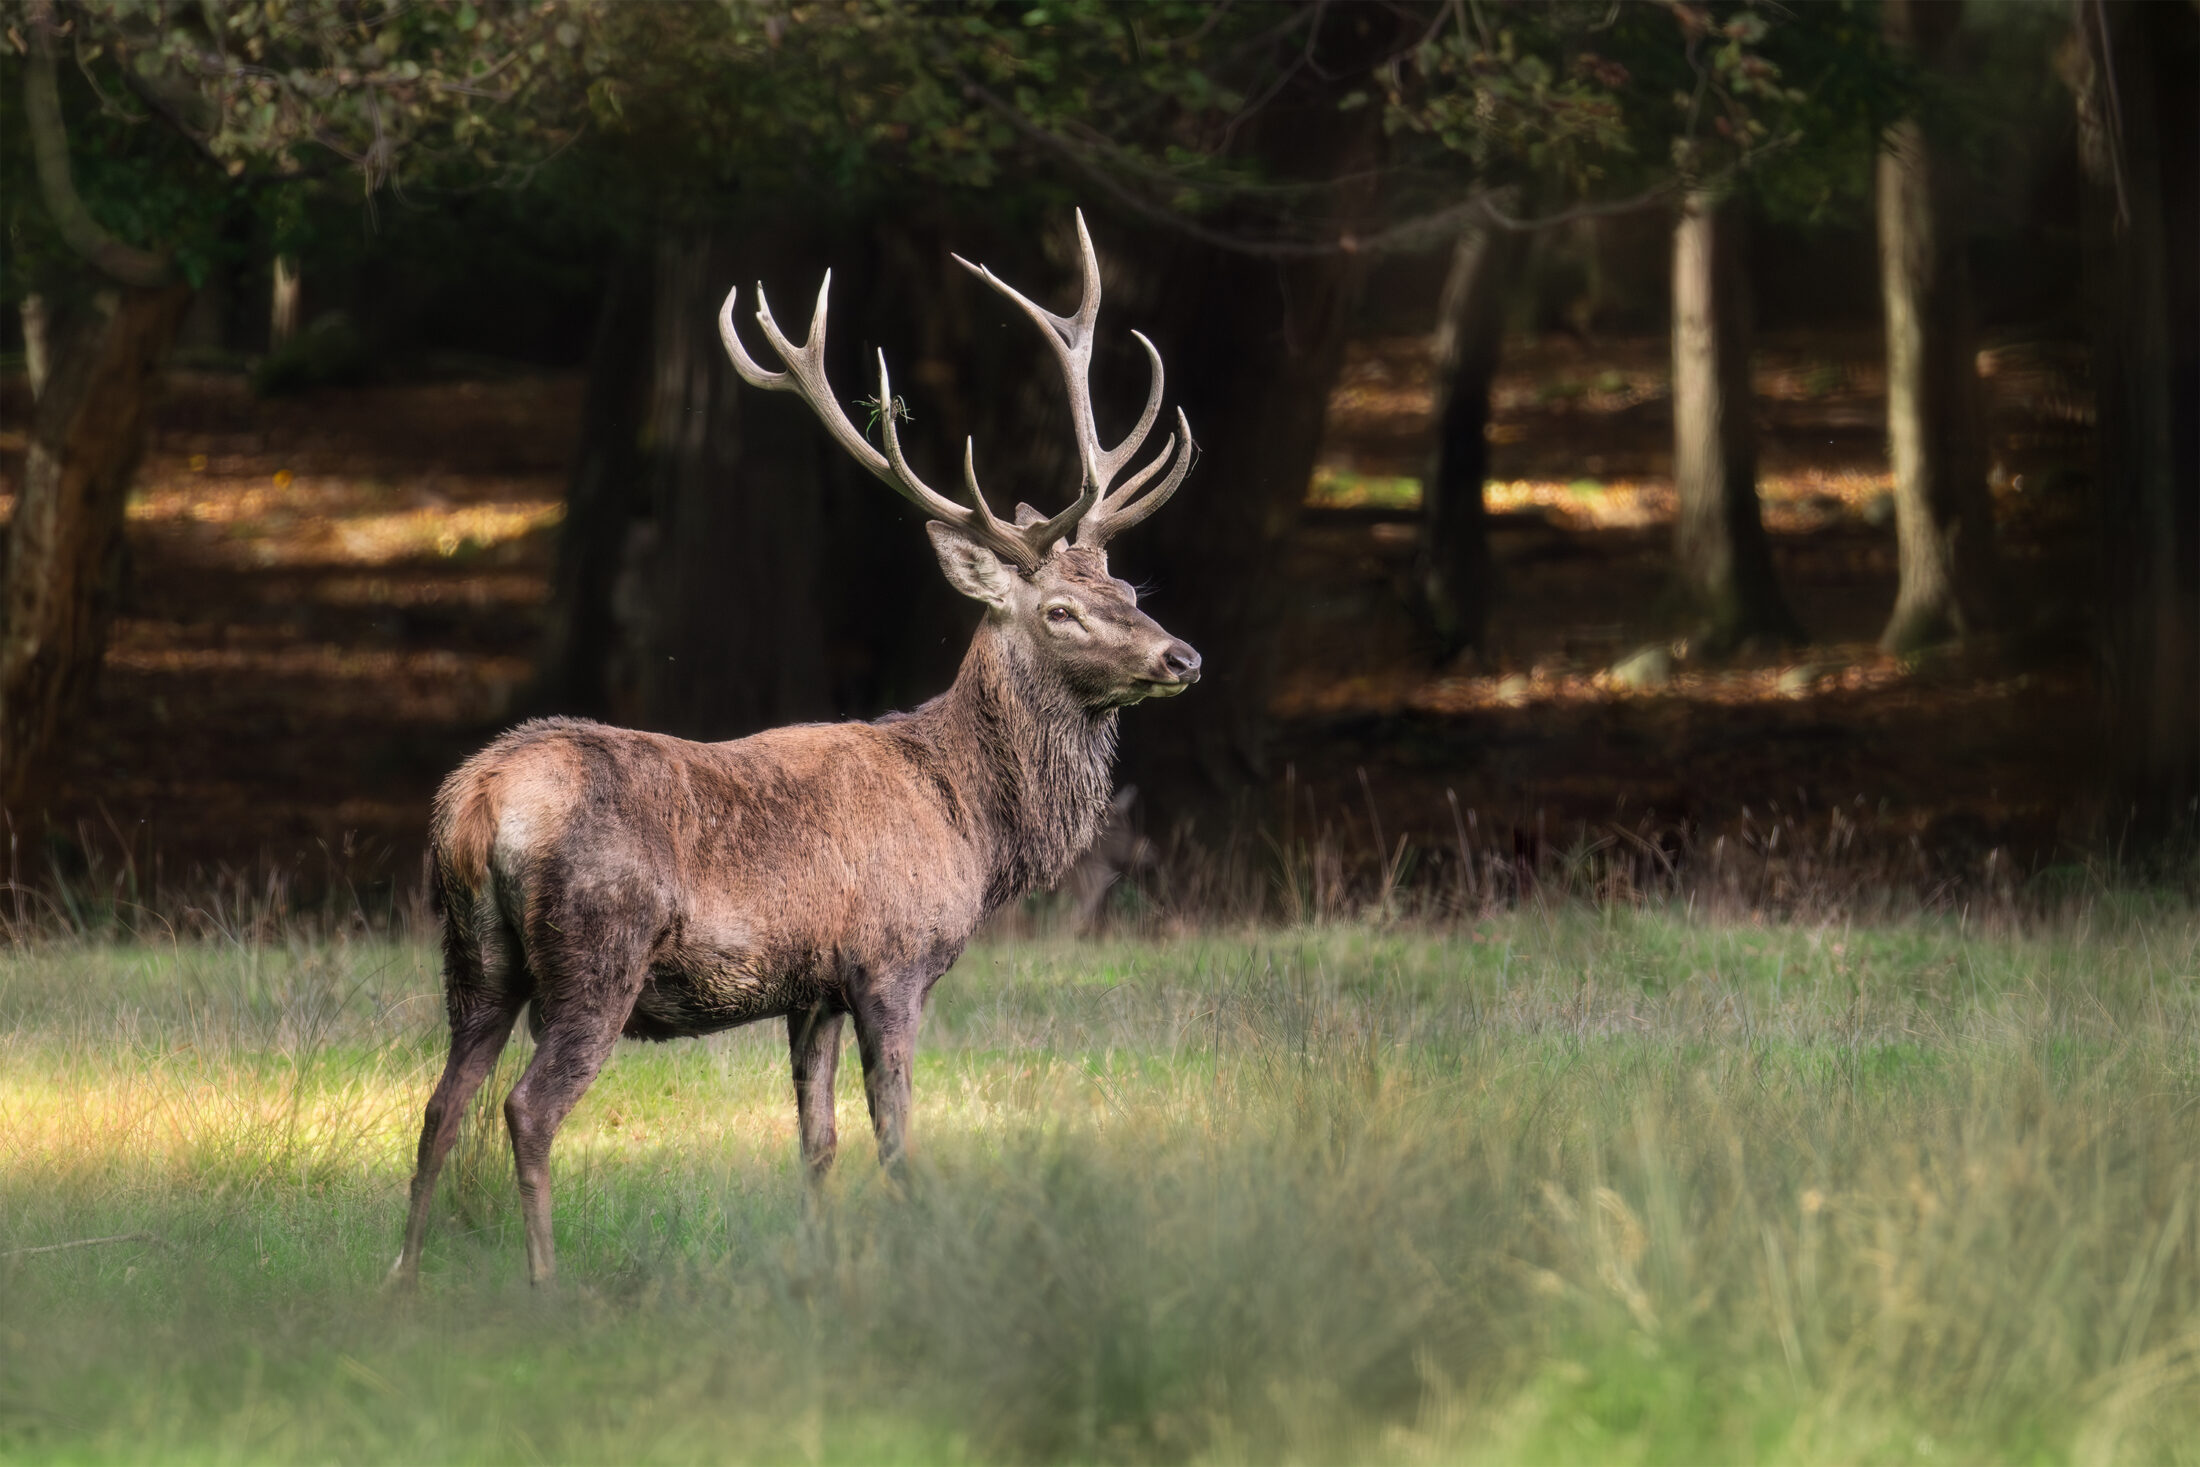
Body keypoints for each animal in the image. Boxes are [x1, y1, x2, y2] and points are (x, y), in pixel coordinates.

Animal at [390, 212, 1199, 1289]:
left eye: (1129, 591)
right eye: (1061, 610)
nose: (1182, 655)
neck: (973, 828)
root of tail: (474, 804)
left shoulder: (809, 988)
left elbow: (815, 1141)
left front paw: (821, 1268)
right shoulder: (891, 961)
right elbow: (894, 1137)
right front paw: (921, 1259)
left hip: (472, 955)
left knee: (442, 1104)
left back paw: (401, 1279)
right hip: (596, 948)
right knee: (527, 1107)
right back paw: (545, 1281)